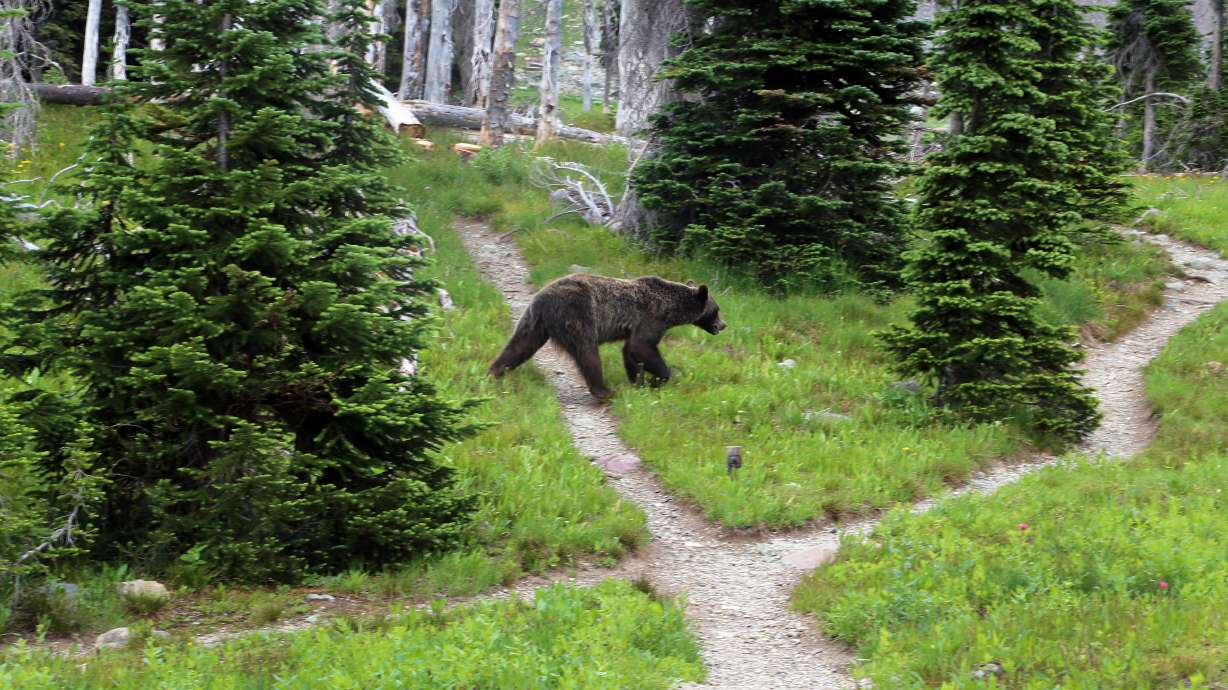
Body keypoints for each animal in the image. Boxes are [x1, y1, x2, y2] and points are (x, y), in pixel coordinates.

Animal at [488, 274, 726, 401]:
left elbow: (630, 351)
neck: (672, 310)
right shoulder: (651, 318)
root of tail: (541, 298)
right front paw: (660, 377)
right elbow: (642, 346)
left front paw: (638, 381)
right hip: (578, 314)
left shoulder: (636, 326)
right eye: (717, 310)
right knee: (588, 353)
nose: (724, 325)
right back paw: (604, 391)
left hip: (534, 323)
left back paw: (494, 372)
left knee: (519, 346)